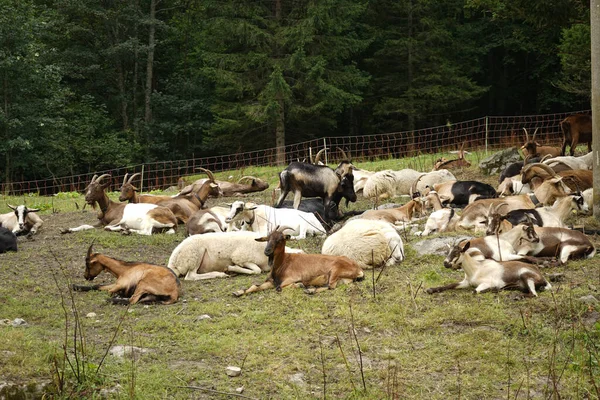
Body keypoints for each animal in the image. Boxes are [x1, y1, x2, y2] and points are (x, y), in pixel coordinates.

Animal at [233, 225, 366, 296]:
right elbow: (255, 286)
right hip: (344, 279)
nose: (267, 251)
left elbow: (280, 288)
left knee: (330, 286)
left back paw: (309, 290)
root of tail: (358, 268)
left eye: (280, 239)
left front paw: (300, 285)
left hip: (335, 270)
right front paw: (238, 292)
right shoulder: (271, 282)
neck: (282, 264)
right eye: (268, 238)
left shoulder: (291, 278)